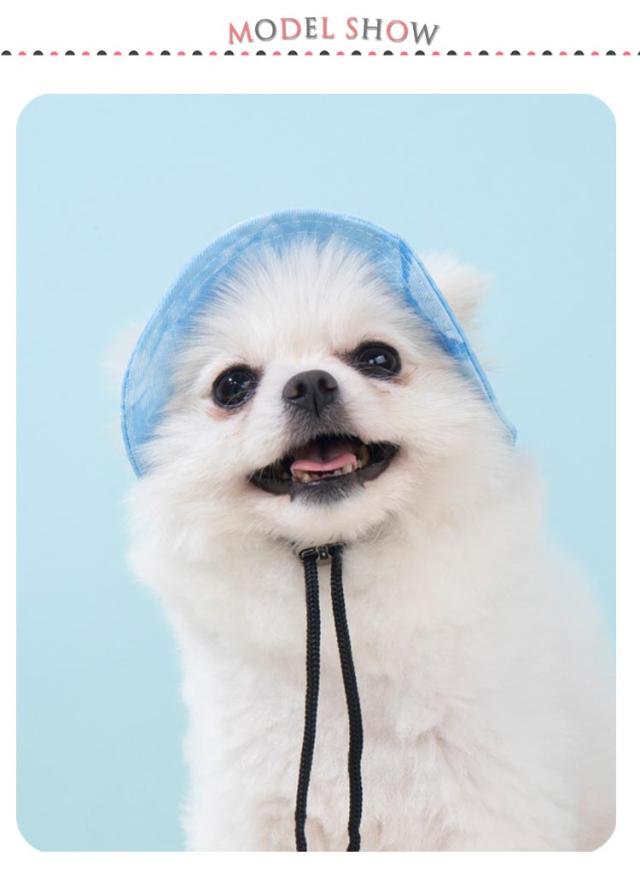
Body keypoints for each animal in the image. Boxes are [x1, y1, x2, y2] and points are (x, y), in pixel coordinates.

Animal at [124, 213, 614, 851]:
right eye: (231, 385)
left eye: (379, 358)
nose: (309, 383)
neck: (336, 563)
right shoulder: (255, 812)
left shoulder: (492, 803)